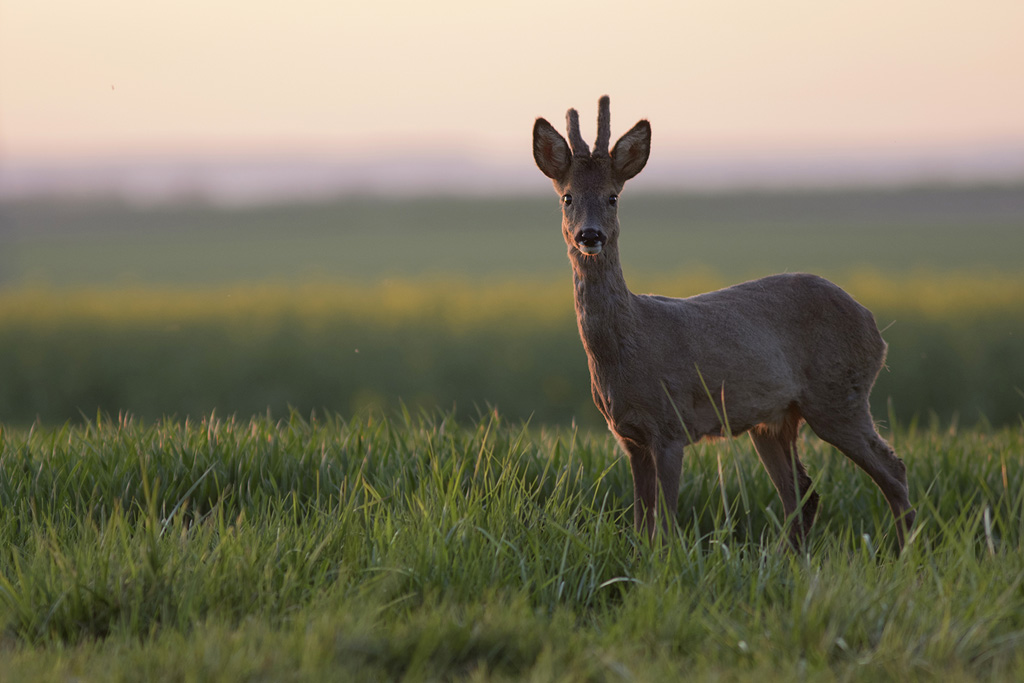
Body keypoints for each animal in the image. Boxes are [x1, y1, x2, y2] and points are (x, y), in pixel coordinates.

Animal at [532, 97, 917, 548]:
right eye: (567, 197)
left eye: (612, 197)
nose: (590, 236)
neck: (628, 347)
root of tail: (874, 327)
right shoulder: (630, 437)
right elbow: (642, 524)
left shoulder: (671, 425)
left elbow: (665, 525)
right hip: (775, 419)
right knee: (802, 492)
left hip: (840, 395)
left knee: (892, 470)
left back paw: (905, 551)